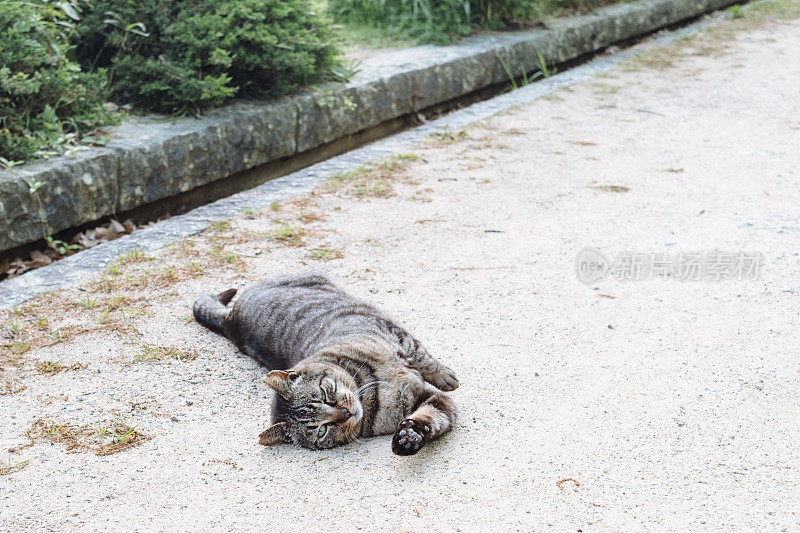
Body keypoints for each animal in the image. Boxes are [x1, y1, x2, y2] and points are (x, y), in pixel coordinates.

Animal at [191, 274, 460, 454]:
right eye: (322, 430)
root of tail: (230, 321)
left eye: (323, 394)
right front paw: (407, 438)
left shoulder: (400, 342)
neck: (370, 391)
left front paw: (445, 377)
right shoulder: (425, 398)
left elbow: (424, 363)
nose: (345, 413)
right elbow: (432, 417)